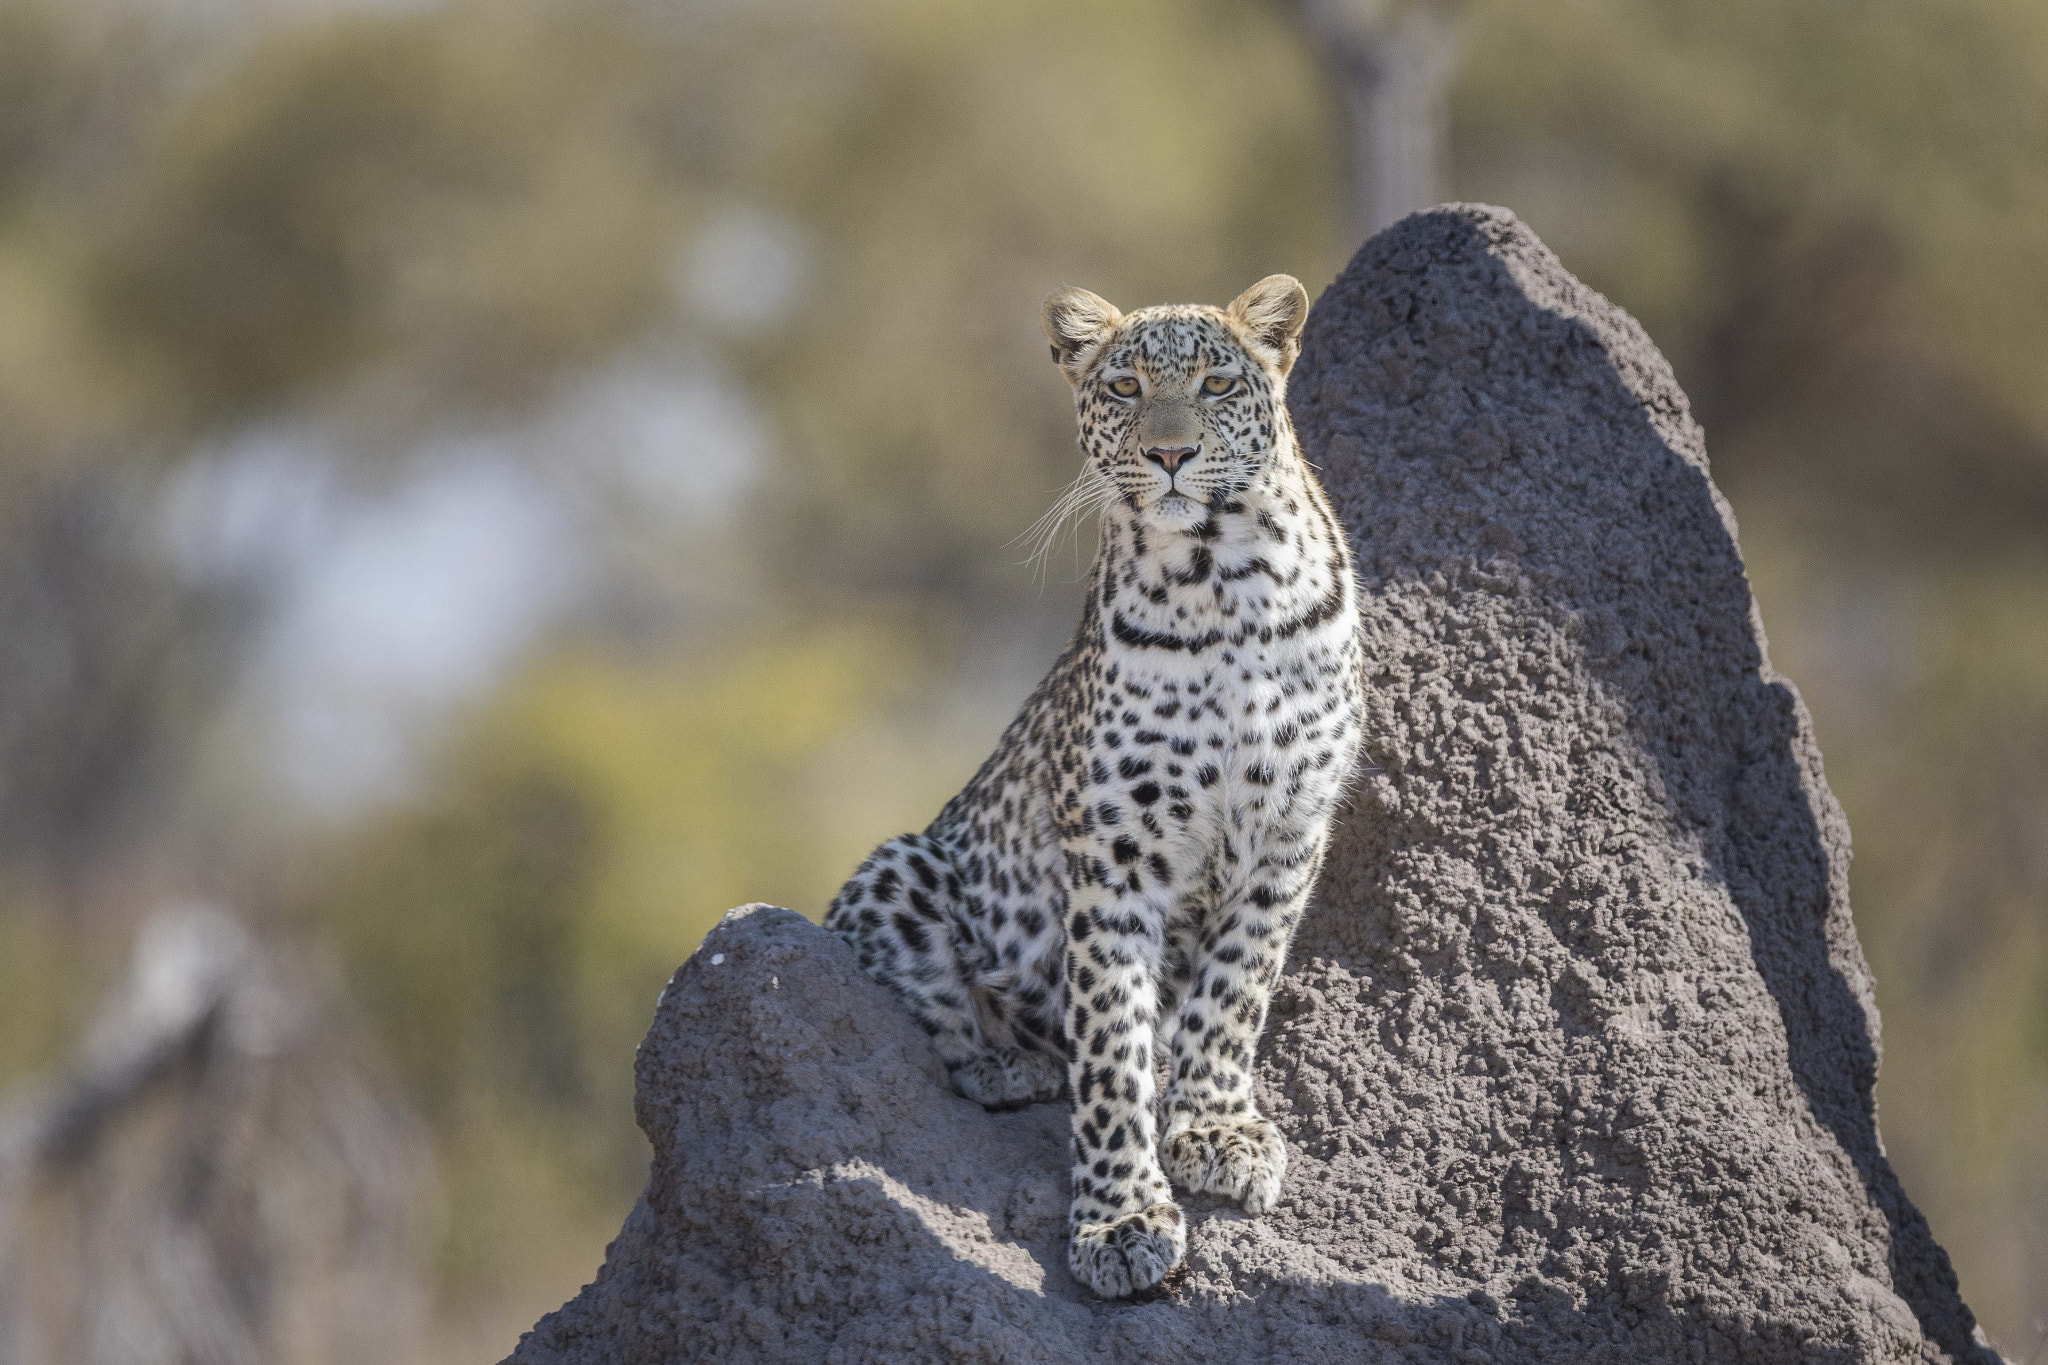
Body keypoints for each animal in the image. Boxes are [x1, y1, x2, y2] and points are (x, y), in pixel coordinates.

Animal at [823, 274, 1368, 1301]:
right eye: (1123, 387)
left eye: (1216, 382)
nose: (1170, 453)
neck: (1223, 582)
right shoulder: (1112, 850)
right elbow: (1113, 1044)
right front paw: (1121, 1220)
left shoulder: (1290, 831)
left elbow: (1237, 988)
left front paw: (1215, 1128)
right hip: (900, 865)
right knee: (942, 1021)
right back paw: (1009, 1069)